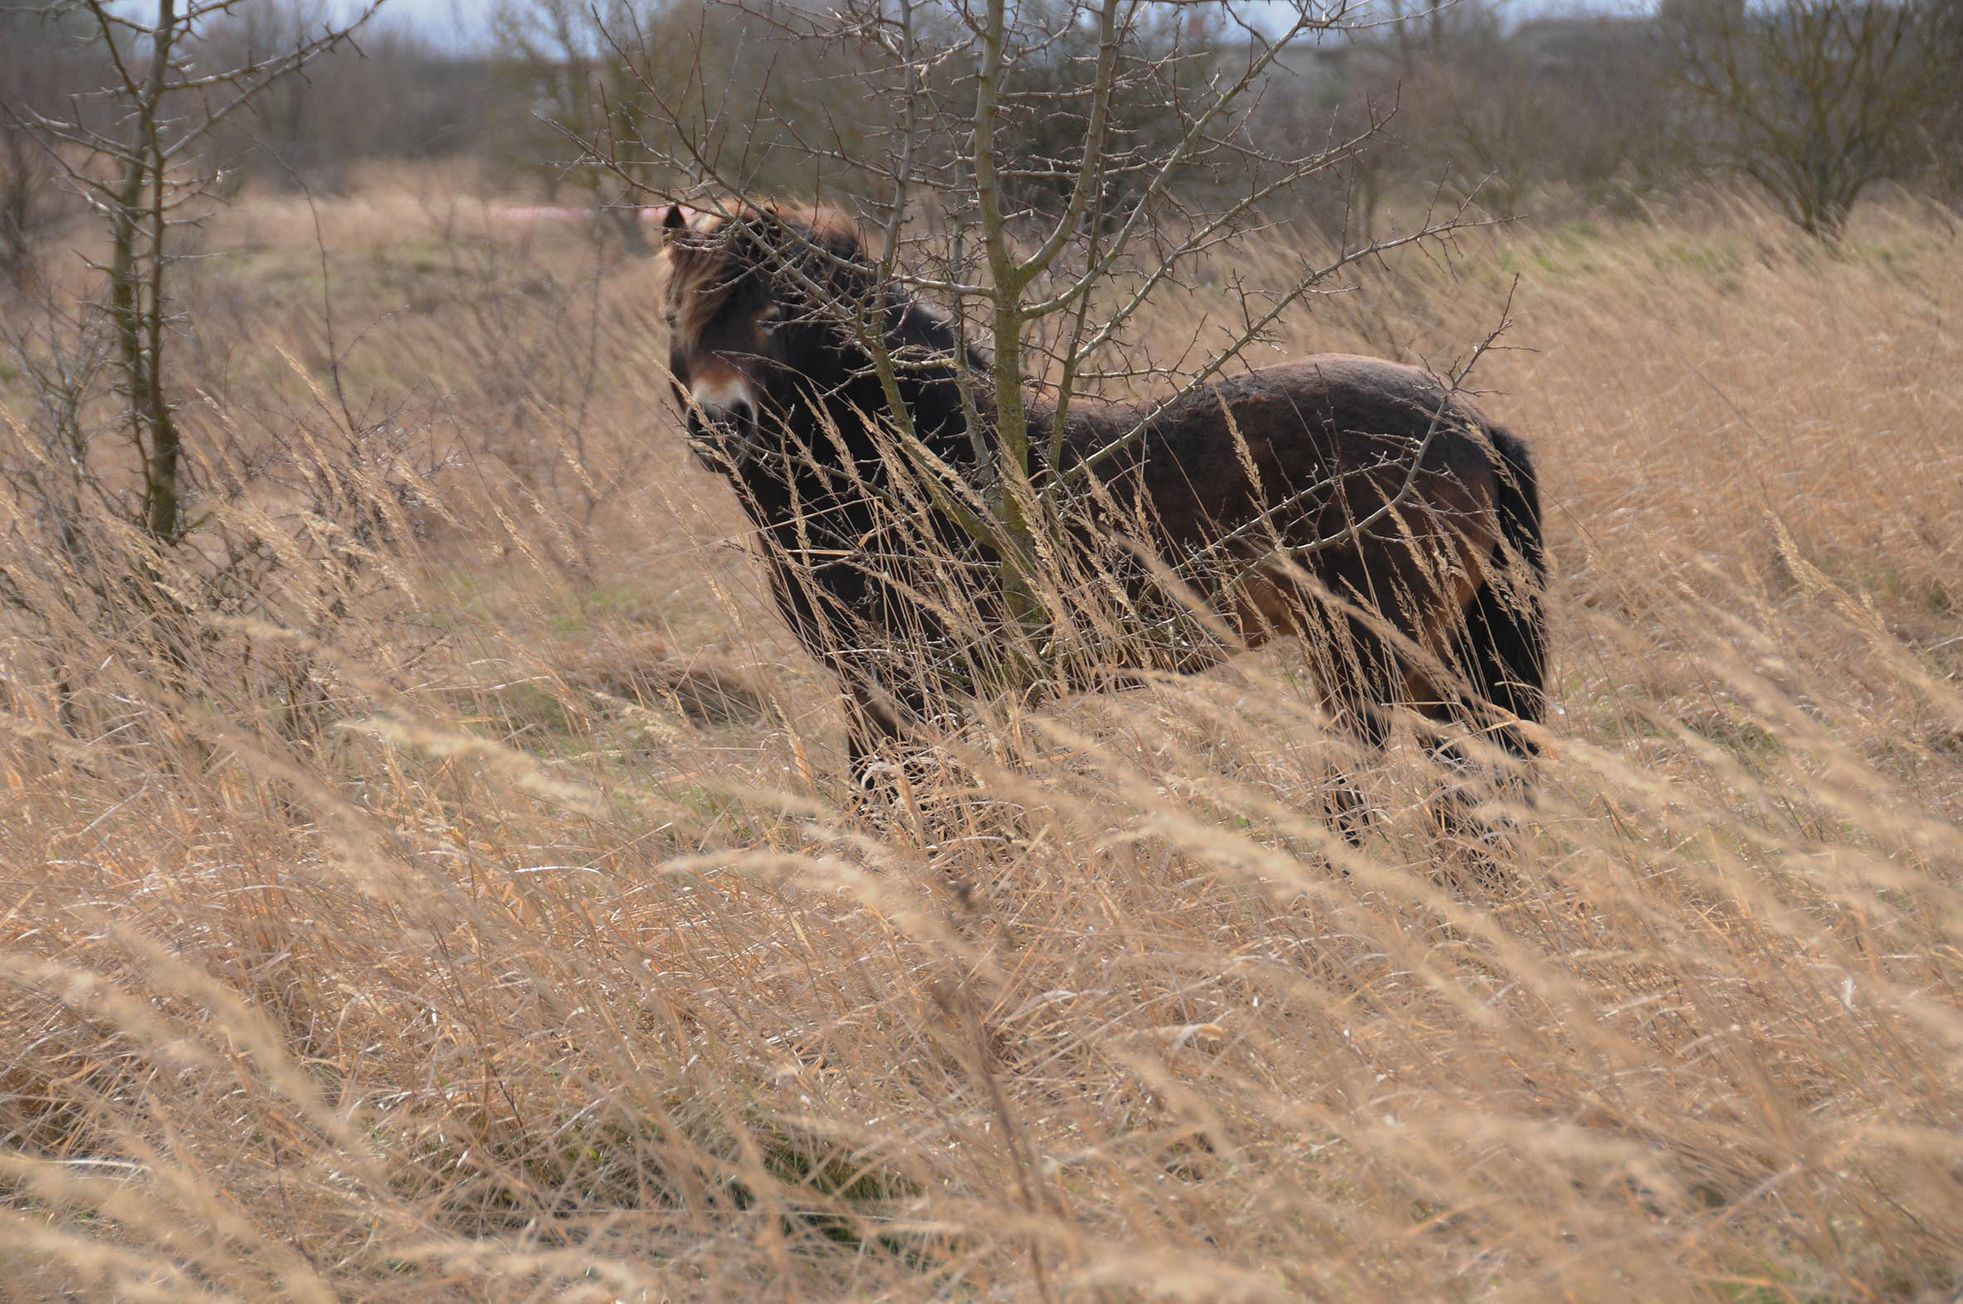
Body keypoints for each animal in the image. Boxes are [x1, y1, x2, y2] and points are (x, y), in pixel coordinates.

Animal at [659, 200, 1546, 840]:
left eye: (778, 313)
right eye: (676, 316)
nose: (719, 425)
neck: (921, 457)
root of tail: (1464, 421)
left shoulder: (903, 688)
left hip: (1363, 658)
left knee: (1363, 800)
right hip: (1438, 661)